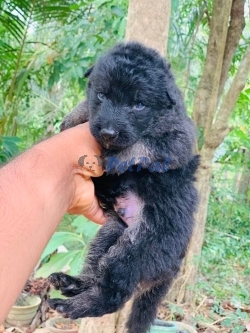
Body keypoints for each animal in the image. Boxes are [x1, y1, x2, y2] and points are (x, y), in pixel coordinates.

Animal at [47, 42, 198, 332]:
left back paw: (71, 306)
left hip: (133, 250)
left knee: (112, 296)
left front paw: (116, 158)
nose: (108, 133)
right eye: (102, 95)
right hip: (110, 233)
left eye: (138, 104)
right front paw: (73, 117)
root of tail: (172, 269)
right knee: (95, 272)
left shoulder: (179, 140)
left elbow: (144, 145)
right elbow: (85, 112)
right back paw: (72, 283)